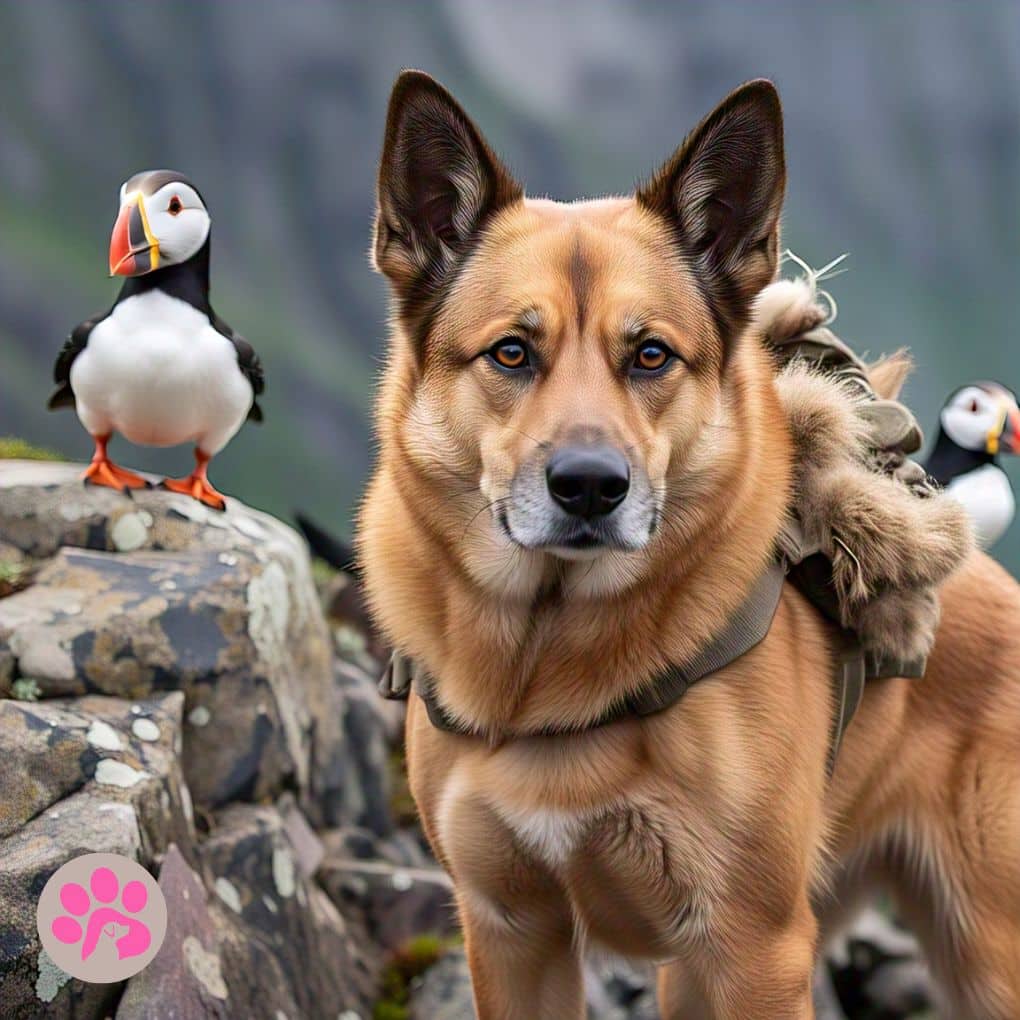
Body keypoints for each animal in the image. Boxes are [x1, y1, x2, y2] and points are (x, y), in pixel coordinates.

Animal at [357, 73, 1020, 1020]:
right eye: (512, 353)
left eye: (651, 355)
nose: (590, 487)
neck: (547, 665)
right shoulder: (512, 936)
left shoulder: (755, 951)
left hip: (979, 953)